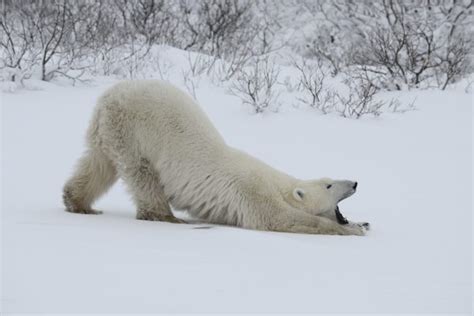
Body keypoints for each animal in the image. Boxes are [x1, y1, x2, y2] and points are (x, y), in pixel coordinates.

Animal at [63, 80, 368, 236]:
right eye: (329, 184)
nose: (355, 182)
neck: (275, 184)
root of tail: (111, 93)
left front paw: (362, 222)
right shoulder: (251, 191)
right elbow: (276, 217)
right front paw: (352, 230)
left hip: (109, 129)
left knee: (98, 164)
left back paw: (78, 203)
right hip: (135, 131)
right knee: (142, 175)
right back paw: (166, 216)